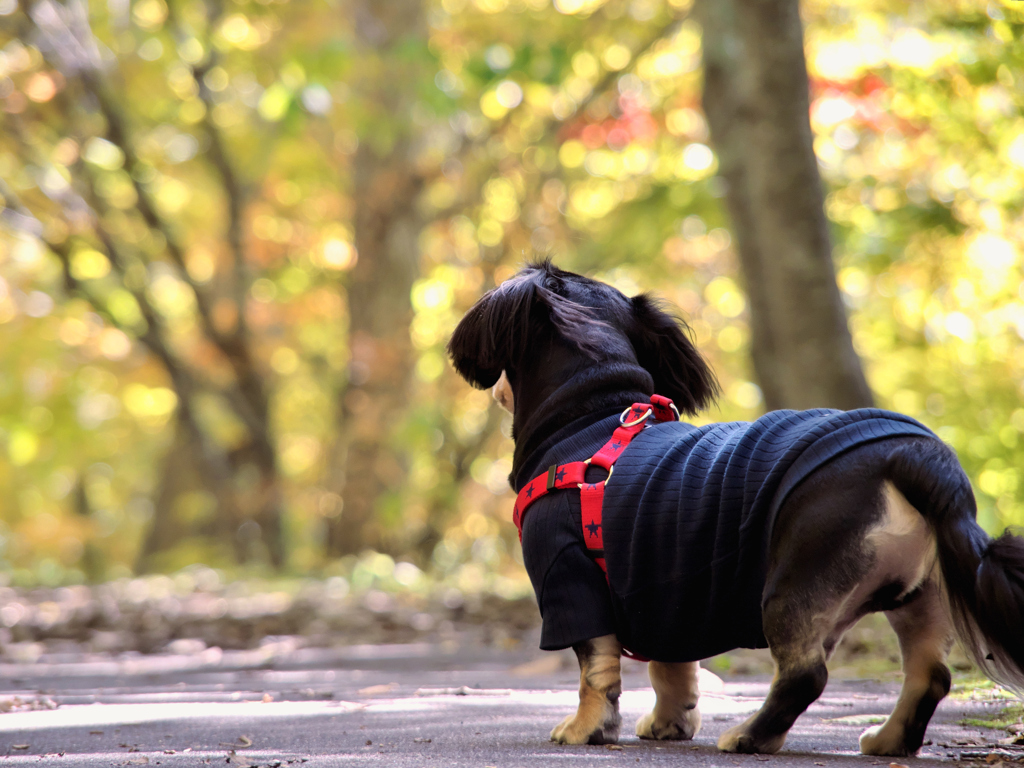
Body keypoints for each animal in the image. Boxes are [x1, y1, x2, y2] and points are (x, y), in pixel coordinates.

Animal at [448, 260, 1024, 757]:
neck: (592, 417)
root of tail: (913, 455)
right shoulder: (668, 589)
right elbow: (672, 669)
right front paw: (669, 723)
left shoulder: (569, 577)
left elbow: (596, 670)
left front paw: (585, 728)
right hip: (921, 595)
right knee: (929, 674)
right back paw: (888, 740)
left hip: (793, 585)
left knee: (805, 674)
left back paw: (751, 736)